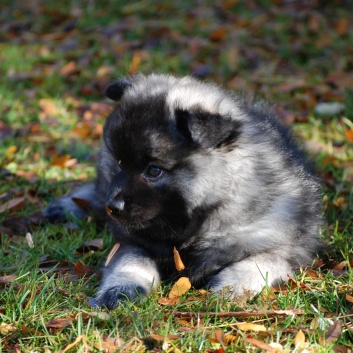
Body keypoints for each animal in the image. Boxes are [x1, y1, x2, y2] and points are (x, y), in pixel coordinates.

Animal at [44, 73, 322, 308]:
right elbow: (131, 264)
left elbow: (255, 264)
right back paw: (65, 206)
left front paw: (230, 290)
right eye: (121, 163)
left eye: (154, 170)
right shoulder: (134, 241)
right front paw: (120, 290)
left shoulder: (283, 249)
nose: (114, 207)